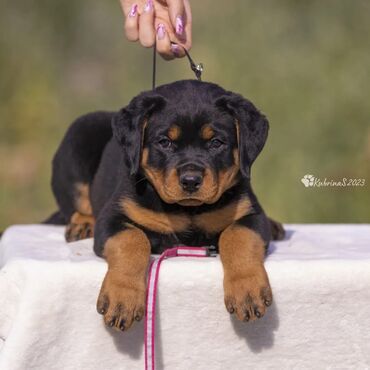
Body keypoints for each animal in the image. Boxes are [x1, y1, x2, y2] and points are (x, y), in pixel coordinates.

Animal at [50, 80, 284, 332]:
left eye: (216, 143)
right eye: (165, 142)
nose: (190, 180)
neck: (188, 209)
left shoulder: (251, 213)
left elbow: (239, 235)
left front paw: (247, 291)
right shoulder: (112, 217)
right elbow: (132, 239)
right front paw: (123, 299)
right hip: (78, 137)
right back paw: (82, 224)